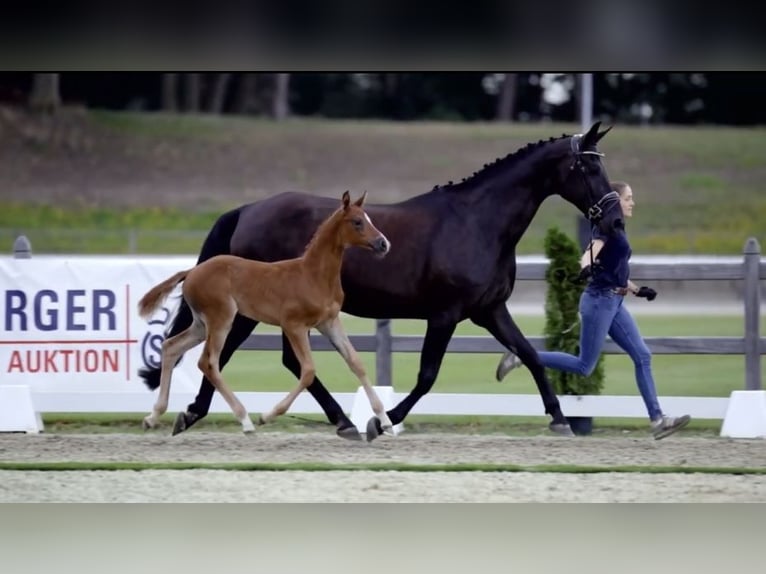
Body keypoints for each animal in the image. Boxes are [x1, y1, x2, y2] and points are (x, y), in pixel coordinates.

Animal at [138, 191, 392, 438]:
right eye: (357, 222)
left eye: (369, 219)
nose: (383, 243)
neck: (312, 275)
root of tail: (191, 271)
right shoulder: (294, 325)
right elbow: (308, 371)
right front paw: (267, 416)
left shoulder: (329, 322)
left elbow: (356, 363)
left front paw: (385, 421)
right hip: (221, 320)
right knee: (208, 362)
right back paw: (246, 420)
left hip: (201, 324)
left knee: (171, 346)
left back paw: (153, 416)